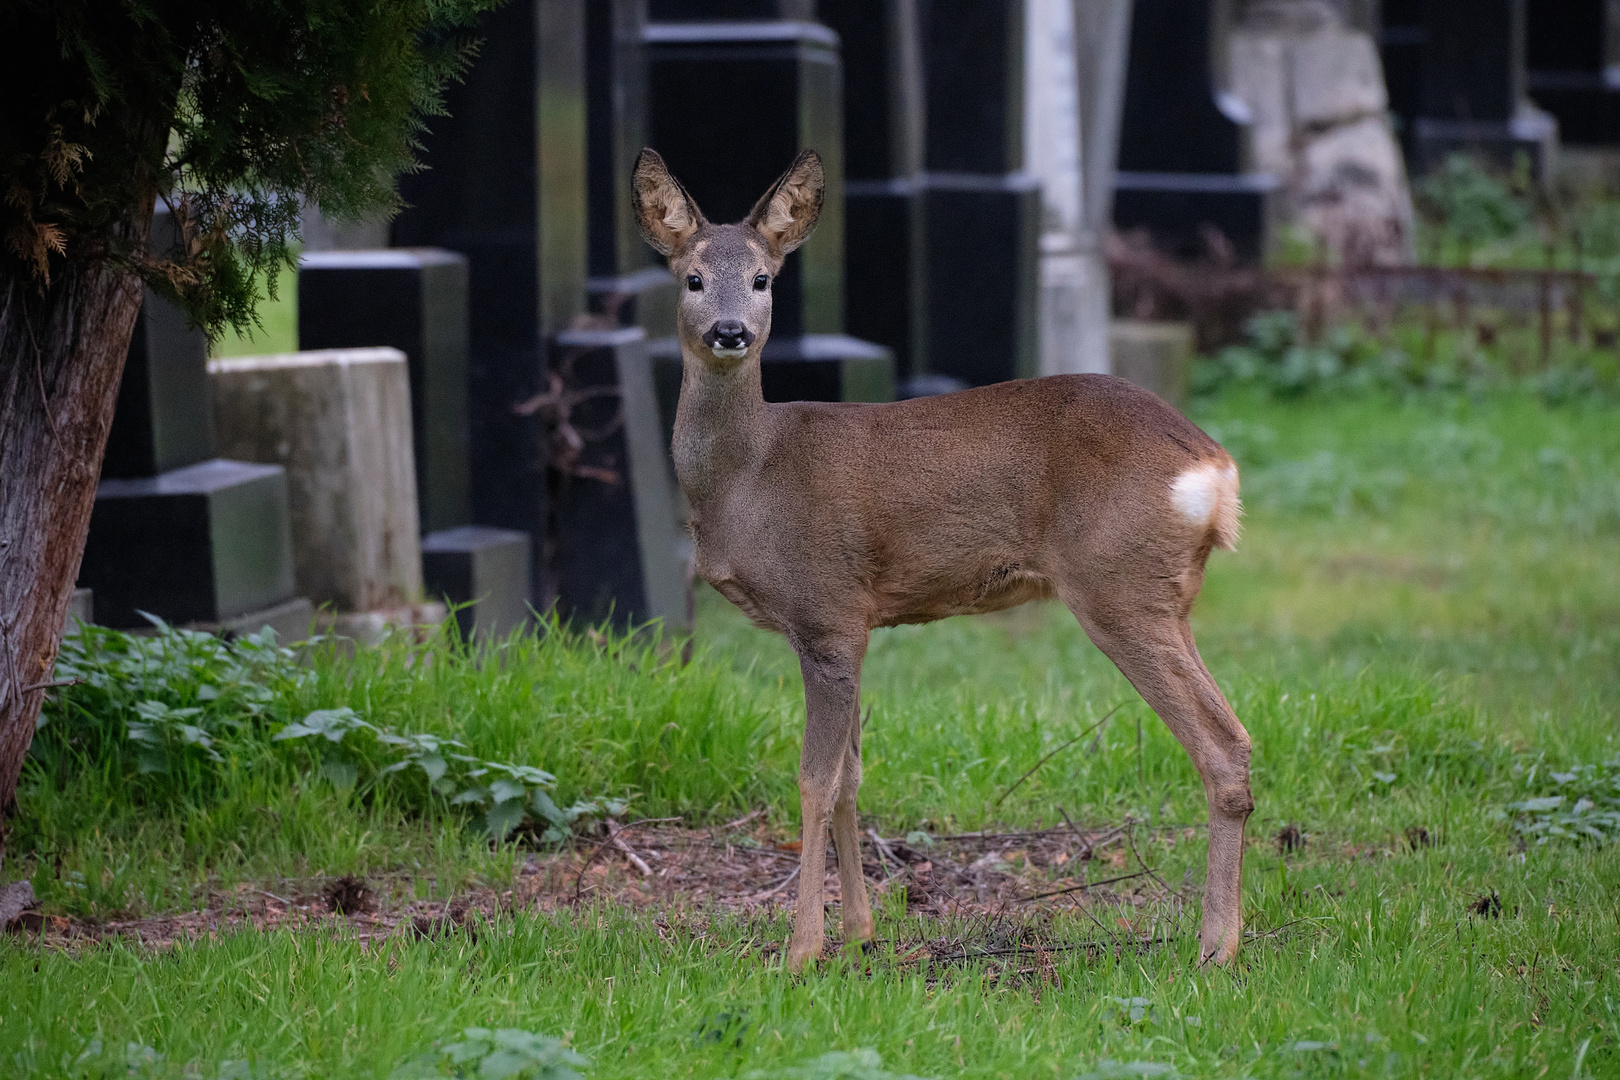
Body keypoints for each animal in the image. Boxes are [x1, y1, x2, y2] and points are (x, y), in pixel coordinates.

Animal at [631, 145, 1250, 971]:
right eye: (693, 278)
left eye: (763, 279)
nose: (730, 331)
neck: (750, 477)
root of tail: (1213, 470)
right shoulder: (857, 622)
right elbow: (853, 776)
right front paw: (859, 933)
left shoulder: (825, 610)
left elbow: (813, 781)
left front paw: (800, 951)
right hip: (1169, 596)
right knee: (1233, 736)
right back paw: (1220, 938)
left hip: (1117, 584)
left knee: (1221, 747)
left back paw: (1215, 948)